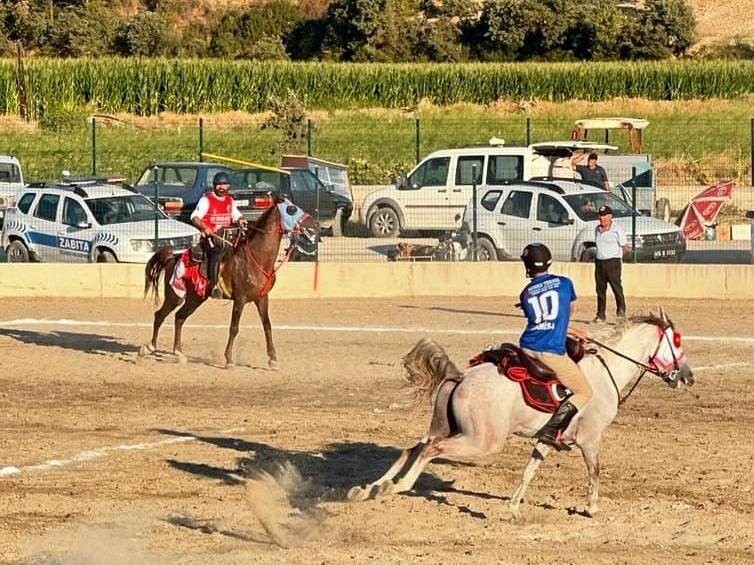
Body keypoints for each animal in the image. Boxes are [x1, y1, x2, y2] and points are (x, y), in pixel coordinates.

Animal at [138, 196, 318, 368]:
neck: (255, 258)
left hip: (195, 298)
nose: (314, 223)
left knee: (179, 317)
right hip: (175, 295)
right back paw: (148, 348)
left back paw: (179, 353)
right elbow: (234, 328)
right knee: (160, 315)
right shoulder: (240, 299)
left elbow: (267, 326)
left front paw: (273, 359)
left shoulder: (261, 298)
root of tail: (173, 258)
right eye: (291, 209)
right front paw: (229, 359)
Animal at [346, 308, 688, 516]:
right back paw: (397, 486)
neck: (606, 372)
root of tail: (462, 376)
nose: (687, 376)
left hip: (447, 427)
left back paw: (370, 488)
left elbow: (530, 470)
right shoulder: (590, 439)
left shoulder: (548, 438)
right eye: (677, 340)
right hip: (482, 440)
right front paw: (591, 508)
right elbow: (595, 470)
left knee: (414, 446)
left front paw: (513, 506)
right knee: (432, 448)